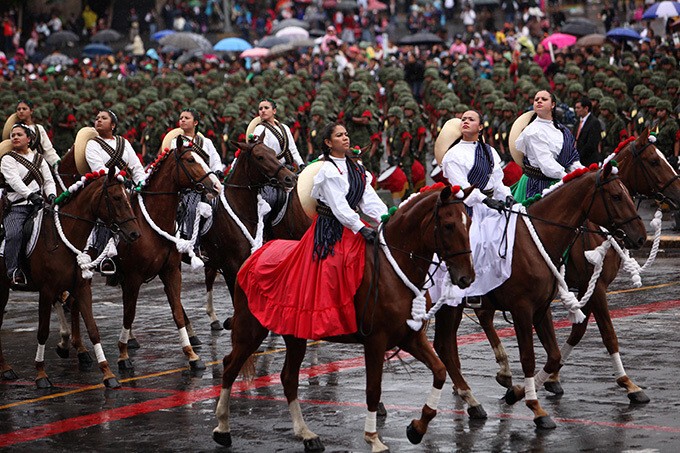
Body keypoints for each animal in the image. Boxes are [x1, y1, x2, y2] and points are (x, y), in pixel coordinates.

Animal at [0, 168, 140, 386]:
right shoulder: (46, 291)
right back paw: (6, 369)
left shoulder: (82, 288)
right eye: (117, 197)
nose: (135, 234)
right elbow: (42, 331)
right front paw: (41, 374)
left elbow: (92, 329)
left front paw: (108, 373)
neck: (63, 237)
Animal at [215, 185, 476, 450]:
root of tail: (256, 253)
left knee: (288, 378)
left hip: (294, 336)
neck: (393, 270)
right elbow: (373, 390)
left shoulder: (410, 337)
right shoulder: (375, 341)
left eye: (470, 223)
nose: (467, 278)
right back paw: (222, 428)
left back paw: (306, 434)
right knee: (230, 366)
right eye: (449, 225)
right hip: (251, 329)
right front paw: (373, 438)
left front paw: (417, 428)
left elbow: (440, 371)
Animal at [430, 163, 648, 428]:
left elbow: (555, 353)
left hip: (454, 307)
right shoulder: (524, 308)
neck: (536, 240)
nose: (640, 236)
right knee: (447, 344)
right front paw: (535, 407)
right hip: (448, 306)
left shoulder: (543, 307)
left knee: (448, 345)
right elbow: (530, 357)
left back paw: (473, 396)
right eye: (616, 196)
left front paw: (518, 393)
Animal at [470, 129, 680, 404]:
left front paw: (549, 379)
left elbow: (577, 333)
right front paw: (629, 384)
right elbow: (608, 335)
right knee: (483, 314)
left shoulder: (585, 288)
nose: (679, 192)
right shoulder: (596, 287)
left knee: (484, 313)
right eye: (654, 161)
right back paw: (501, 373)